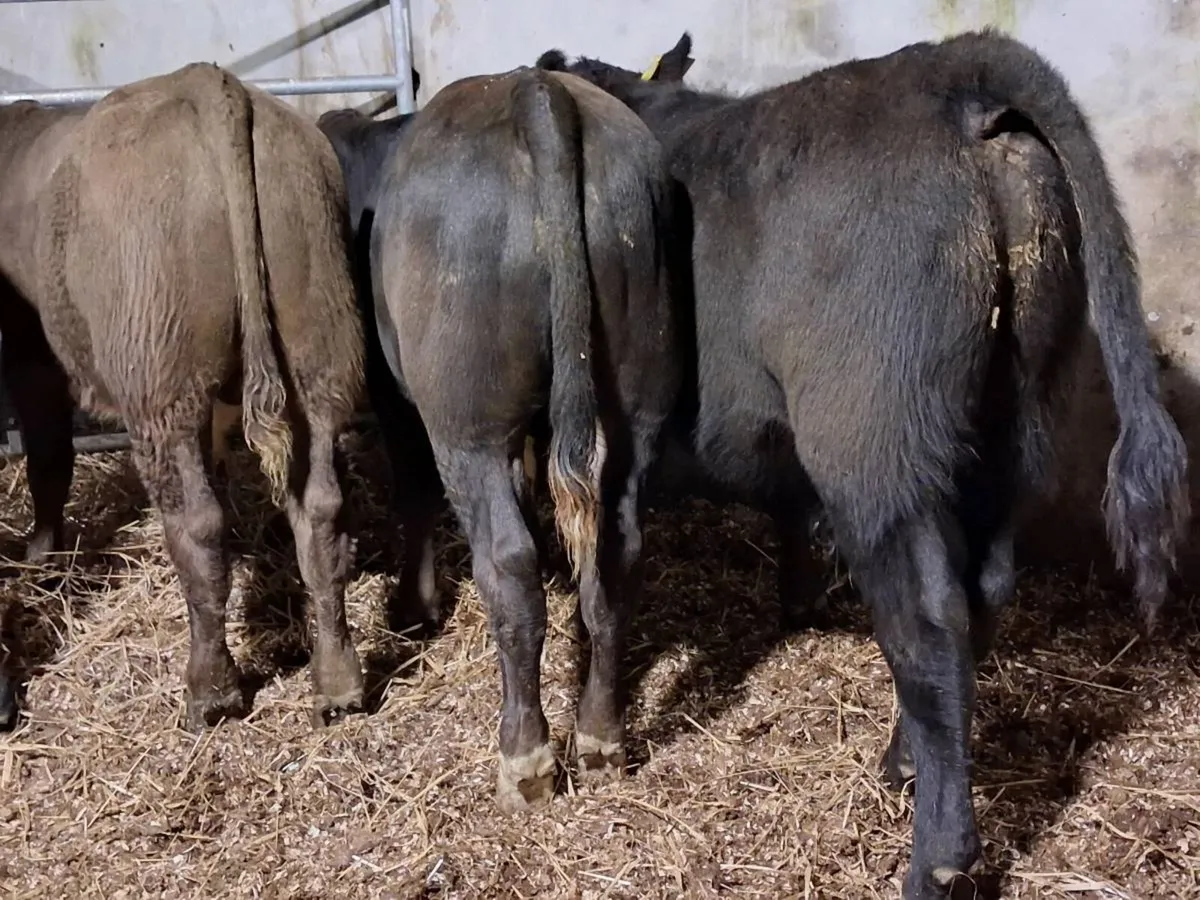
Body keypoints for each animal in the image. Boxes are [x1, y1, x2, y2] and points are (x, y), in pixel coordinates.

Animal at [0, 62, 368, 732]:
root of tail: (211, 84)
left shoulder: (28, 340)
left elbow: (47, 451)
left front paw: (41, 551)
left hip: (160, 382)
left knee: (196, 526)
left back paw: (210, 691)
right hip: (319, 342)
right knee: (322, 509)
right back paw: (338, 685)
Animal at [319, 66, 682, 812]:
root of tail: (537, 92)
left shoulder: (397, 397)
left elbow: (415, 492)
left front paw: (413, 605)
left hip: (467, 423)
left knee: (508, 566)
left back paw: (526, 758)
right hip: (639, 398)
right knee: (618, 553)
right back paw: (600, 740)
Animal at [535, 29, 1190, 899]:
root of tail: (949, 72)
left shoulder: (611, 439)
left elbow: (609, 575)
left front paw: (598, 736)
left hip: (873, 440)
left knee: (928, 620)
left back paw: (936, 855)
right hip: (1016, 422)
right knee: (983, 588)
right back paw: (903, 762)